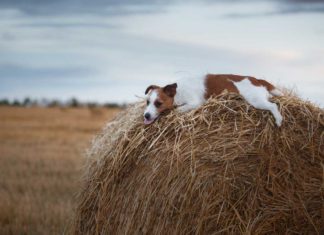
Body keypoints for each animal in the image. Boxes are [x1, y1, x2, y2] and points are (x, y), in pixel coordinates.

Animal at [144, 74, 284, 126]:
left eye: (158, 103)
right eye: (147, 102)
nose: (146, 115)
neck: (178, 92)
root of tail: (257, 80)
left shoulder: (194, 102)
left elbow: (178, 110)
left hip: (256, 101)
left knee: (273, 106)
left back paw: (278, 120)